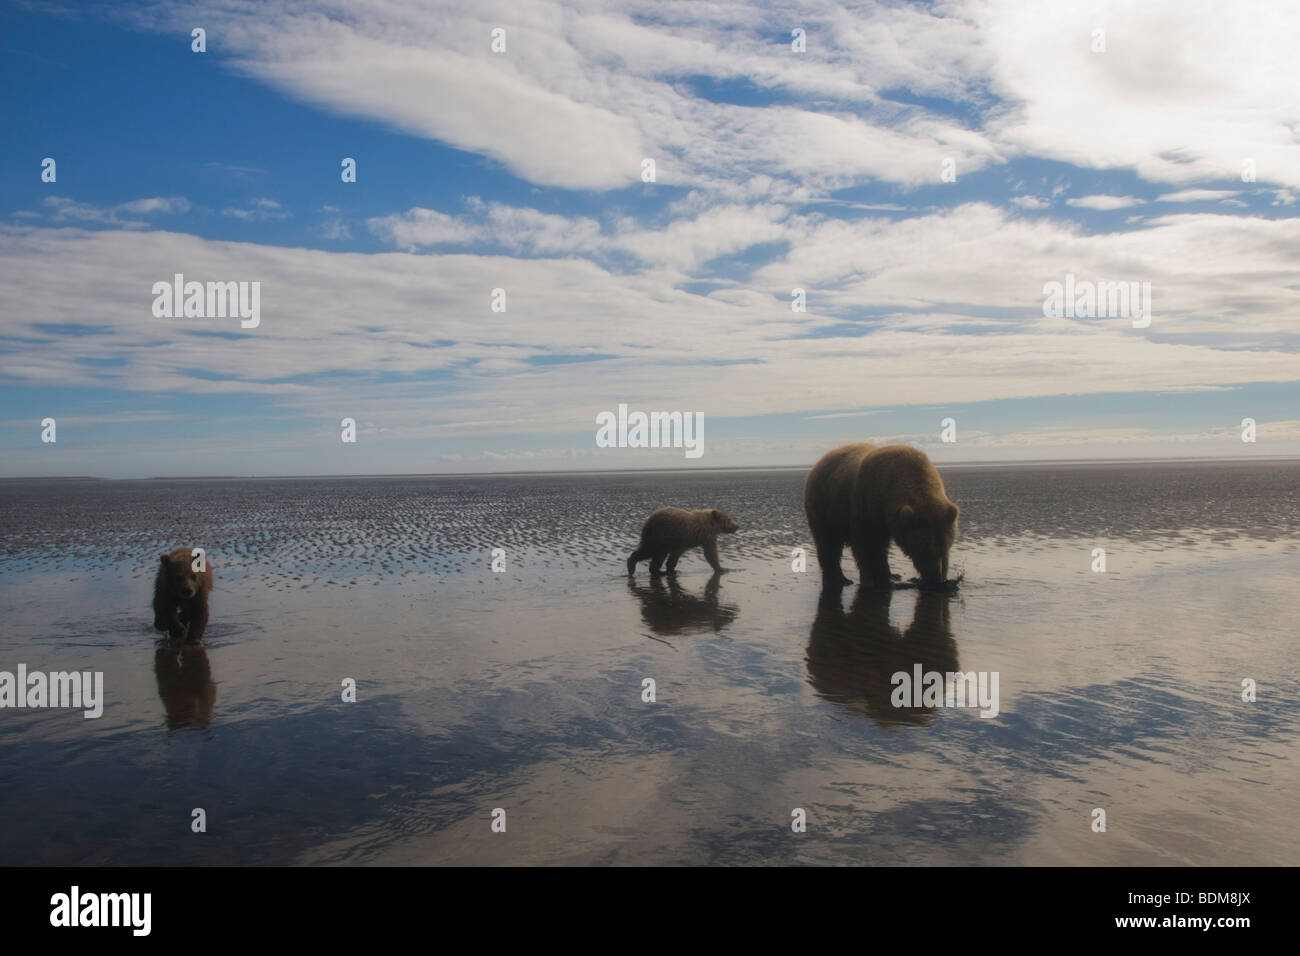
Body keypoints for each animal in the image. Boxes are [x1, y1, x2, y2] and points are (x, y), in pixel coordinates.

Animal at [800, 447, 956, 590]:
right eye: (923, 550)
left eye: (944, 548)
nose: (935, 578)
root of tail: (819, 462)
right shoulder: (867, 501)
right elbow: (866, 542)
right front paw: (873, 579)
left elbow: (881, 546)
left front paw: (888, 576)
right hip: (824, 505)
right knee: (828, 543)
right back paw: (839, 579)